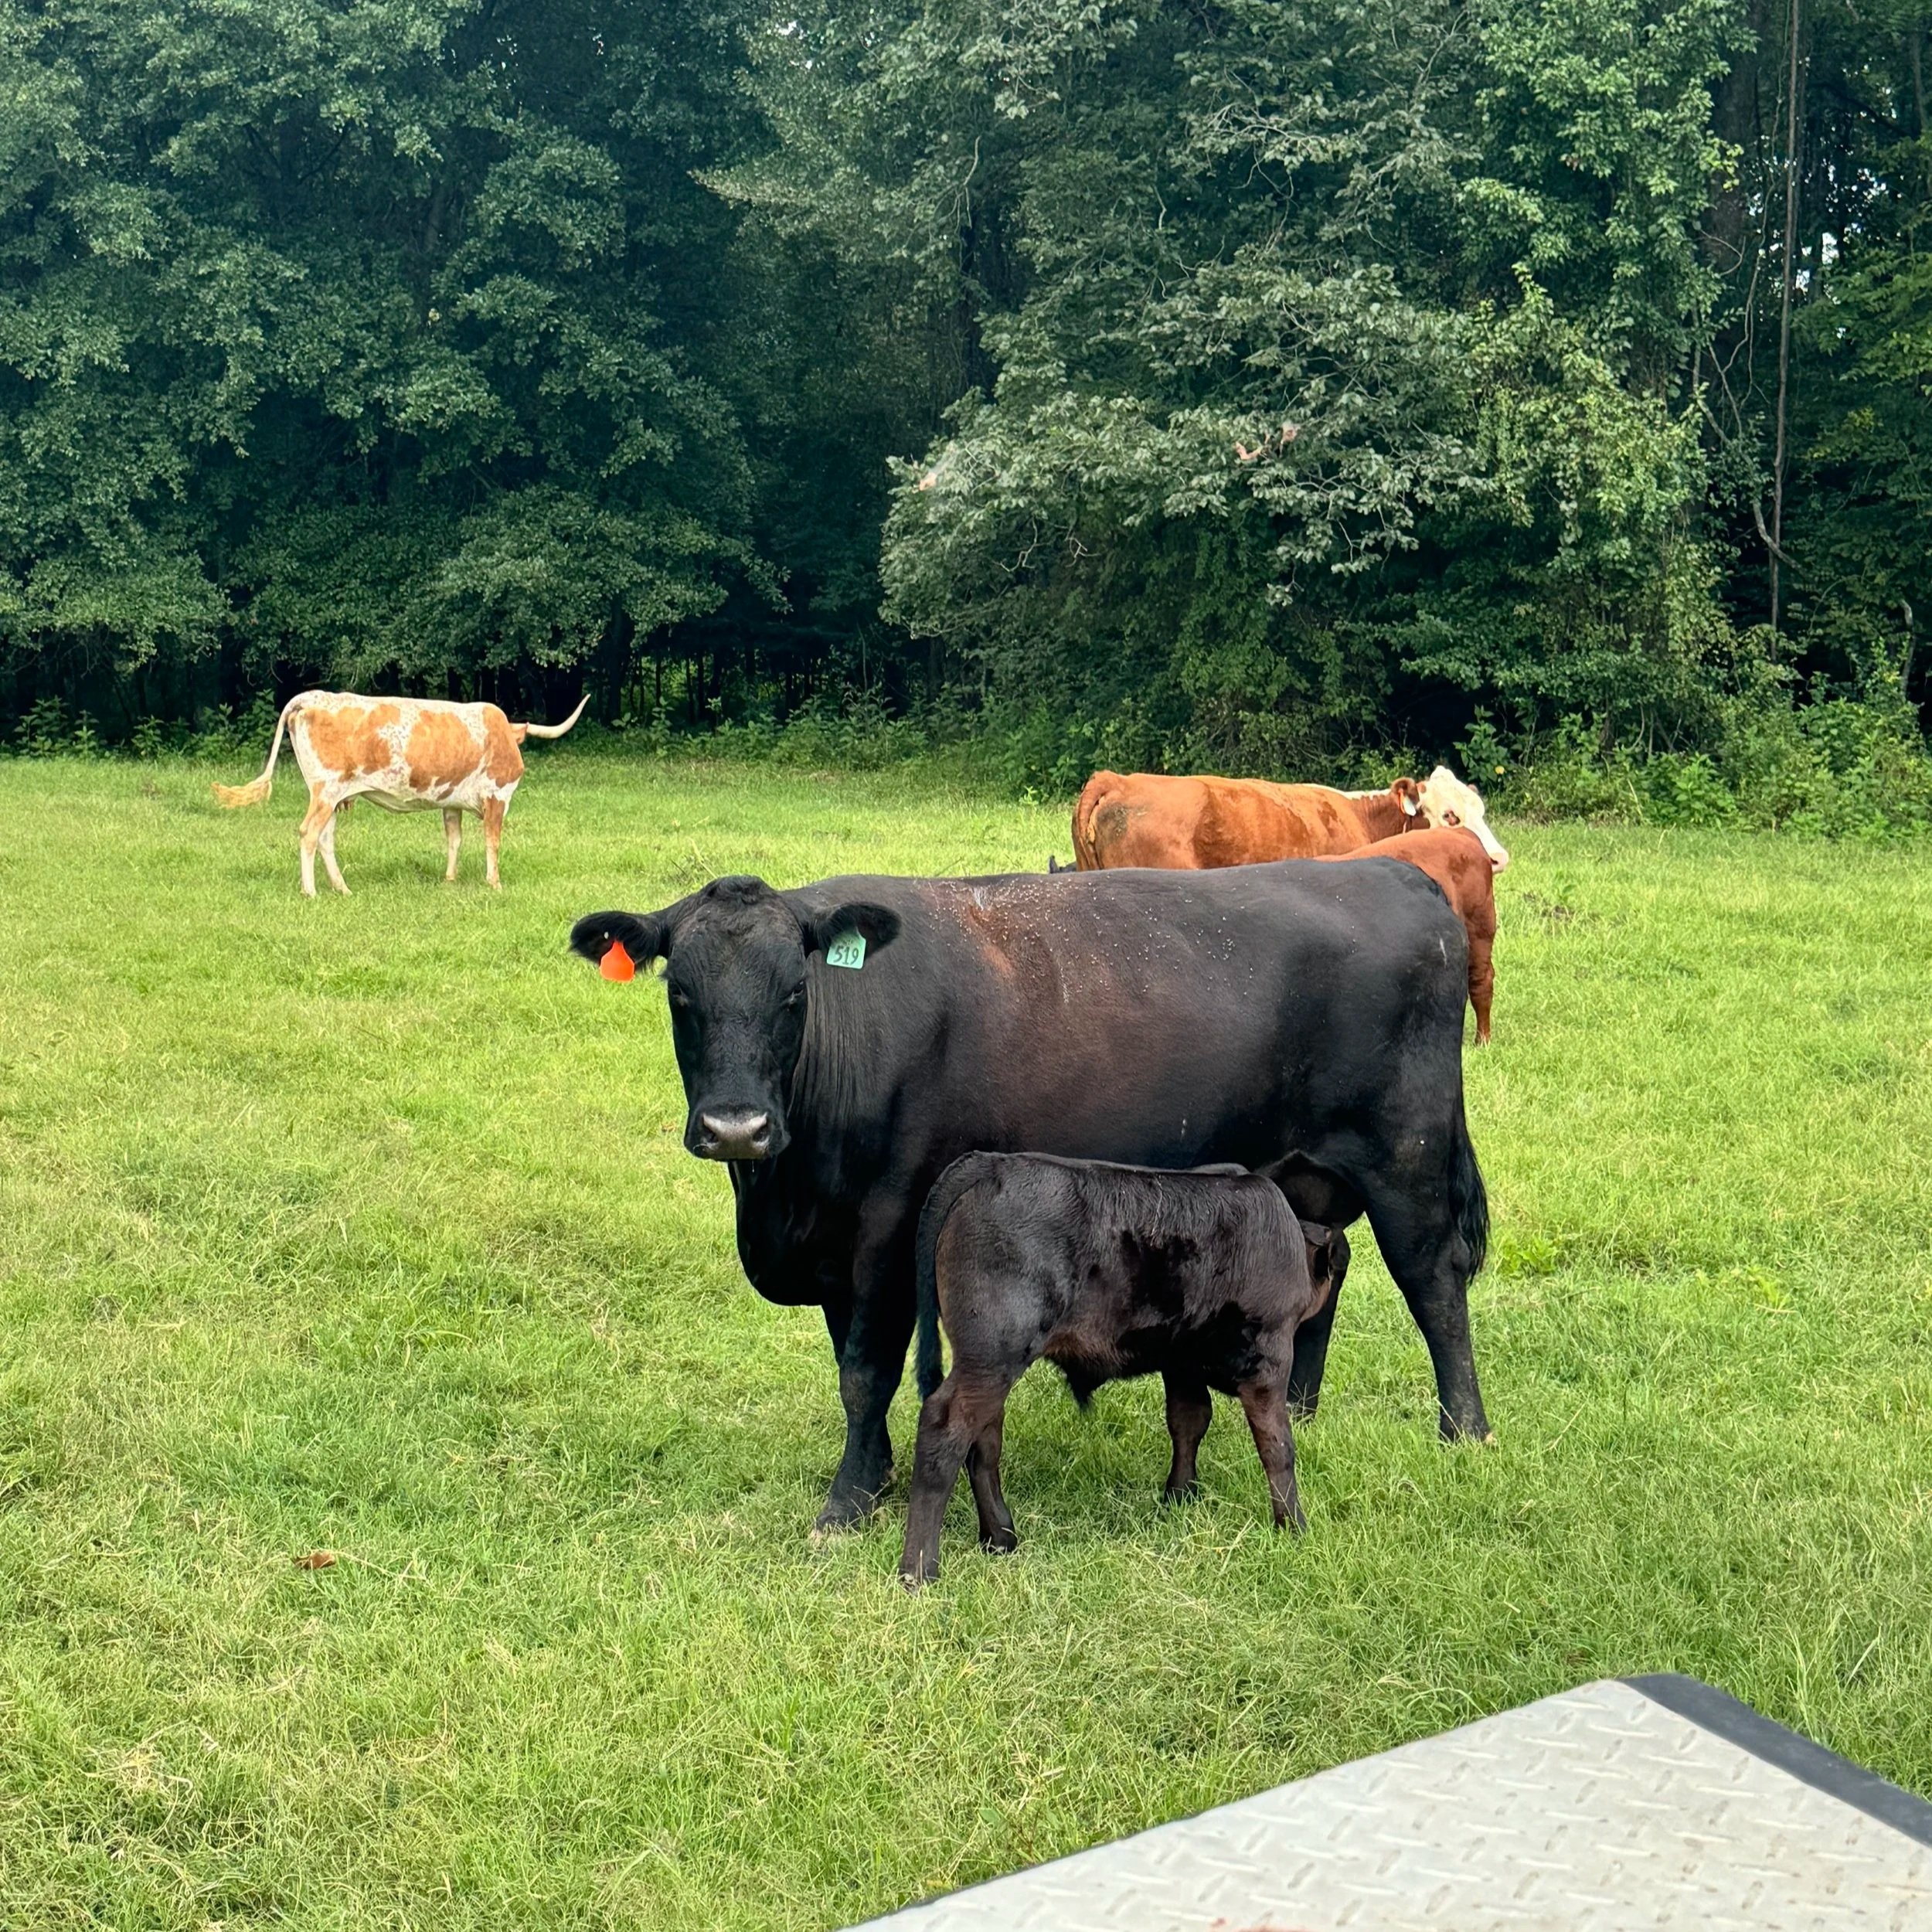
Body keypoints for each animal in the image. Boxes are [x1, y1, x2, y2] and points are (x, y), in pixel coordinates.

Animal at [214, 691, 588, 895]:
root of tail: (310, 697)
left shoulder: (450, 803)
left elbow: (454, 839)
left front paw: (449, 879)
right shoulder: (497, 797)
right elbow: (492, 842)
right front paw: (494, 883)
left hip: (330, 797)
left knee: (324, 839)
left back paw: (342, 888)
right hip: (326, 790)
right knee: (309, 834)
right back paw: (311, 891)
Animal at [569, 859, 1490, 1536]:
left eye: (794, 994)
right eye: (679, 996)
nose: (737, 1126)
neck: (784, 1194)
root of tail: (1393, 872)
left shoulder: (886, 1232)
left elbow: (867, 1372)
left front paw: (845, 1502)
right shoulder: (835, 1251)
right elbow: (847, 1369)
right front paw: (873, 1476)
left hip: (1405, 1160)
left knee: (1434, 1286)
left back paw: (1465, 1431)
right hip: (1308, 1176)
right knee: (1326, 1271)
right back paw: (1303, 1402)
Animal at [901, 1151, 1349, 1585]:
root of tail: (989, 1162)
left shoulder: (1181, 1360)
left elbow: (1189, 1421)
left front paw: (1180, 1497)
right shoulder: (1268, 1356)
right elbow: (1277, 1446)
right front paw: (1293, 1525)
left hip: (990, 1361)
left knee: (984, 1442)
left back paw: (1000, 1537)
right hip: (994, 1350)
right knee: (945, 1429)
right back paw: (919, 1570)